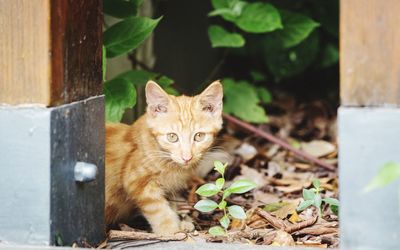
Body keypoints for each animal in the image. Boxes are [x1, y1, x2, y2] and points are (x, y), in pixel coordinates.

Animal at [106, 80, 223, 234]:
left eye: (199, 136)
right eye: (172, 137)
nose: (187, 157)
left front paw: (182, 223)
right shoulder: (136, 182)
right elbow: (159, 210)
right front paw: (171, 230)